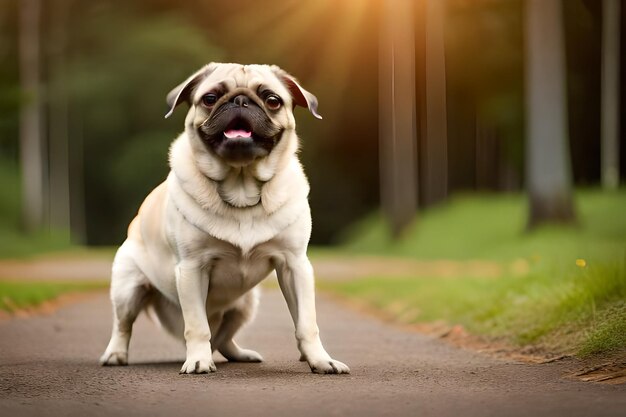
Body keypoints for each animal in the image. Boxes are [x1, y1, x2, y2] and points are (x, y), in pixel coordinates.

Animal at [100, 61, 348, 374]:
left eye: (272, 100)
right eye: (209, 98)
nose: (240, 100)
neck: (241, 188)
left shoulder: (295, 266)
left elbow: (306, 323)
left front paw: (319, 359)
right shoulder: (192, 269)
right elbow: (197, 327)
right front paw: (198, 360)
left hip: (247, 304)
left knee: (225, 338)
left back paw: (241, 354)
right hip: (127, 290)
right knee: (124, 325)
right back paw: (115, 355)